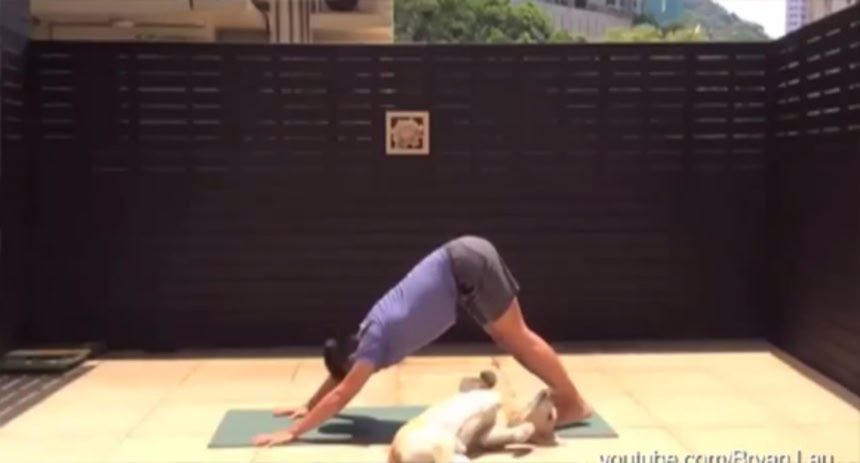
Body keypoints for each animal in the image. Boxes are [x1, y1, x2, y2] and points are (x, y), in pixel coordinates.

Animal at [387, 369, 559, 463]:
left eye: (550, 416)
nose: (549, 391)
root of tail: (395, 456)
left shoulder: (489, 434)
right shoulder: (473, 390)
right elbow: (486, 382)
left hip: (442, 442)